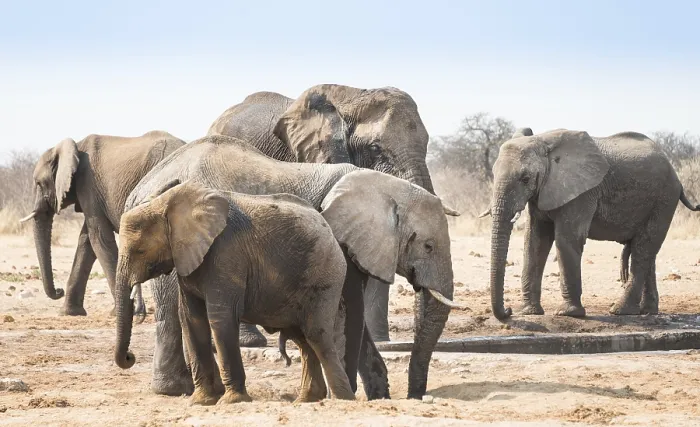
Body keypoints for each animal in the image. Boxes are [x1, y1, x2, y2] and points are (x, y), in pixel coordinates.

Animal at [19, 131, 185, 316]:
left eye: (39, 183)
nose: (58, 291)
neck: (74, 147)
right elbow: (86, 241)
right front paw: (70, 313)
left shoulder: (88, 183)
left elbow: (99, 238)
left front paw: (119, 312)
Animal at [114, 180, 355, 404]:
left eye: (140, 251)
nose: (130, 356)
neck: (166, 203)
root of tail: (329, 230)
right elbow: (192, 319)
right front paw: (200, 401)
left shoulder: (226, 253)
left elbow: (220, 318)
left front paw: (231, 401)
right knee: (303, 339)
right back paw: (306, 400)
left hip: (325, 274)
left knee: (316, 335)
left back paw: (342, 400)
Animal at [482, 128, 700, 320]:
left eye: (525, 179)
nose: (508, 311)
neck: (544, 142)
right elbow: (535, 242)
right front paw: (529, 312)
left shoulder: (582, 192)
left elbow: (567, 239)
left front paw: (568, 314)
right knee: (648, 250)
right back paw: (647, 311)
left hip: (664, 199)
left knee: (643, 249)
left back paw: (620, 311)